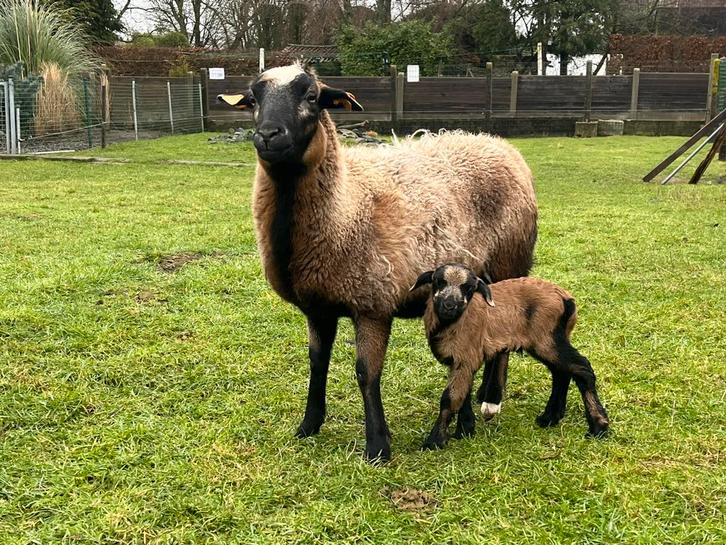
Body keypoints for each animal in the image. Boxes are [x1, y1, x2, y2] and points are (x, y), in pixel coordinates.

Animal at [217, 64, 538, 462]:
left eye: (312, 96)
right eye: (253, 98)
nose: (267, 135)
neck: (346, 207)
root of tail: (498, 143)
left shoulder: (372, 303)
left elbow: (366, 373)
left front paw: (377, 445)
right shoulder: (318, 307)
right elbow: (317, 364)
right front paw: (309, 426)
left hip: (511, 262)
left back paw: (491, 400)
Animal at [411, 263, 609, 450]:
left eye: (469, 288)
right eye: (439, 281)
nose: (449, 306)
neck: (451, 323)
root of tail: (566, 299)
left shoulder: (465, 358)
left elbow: (450, 398)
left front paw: (434, 441)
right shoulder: (462, 360)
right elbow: (463, 394)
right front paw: (465, 430)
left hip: (547, 339)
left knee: (581, 368)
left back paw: (599, 426)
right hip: (550, 342)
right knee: (561, 372)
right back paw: (550, 418)